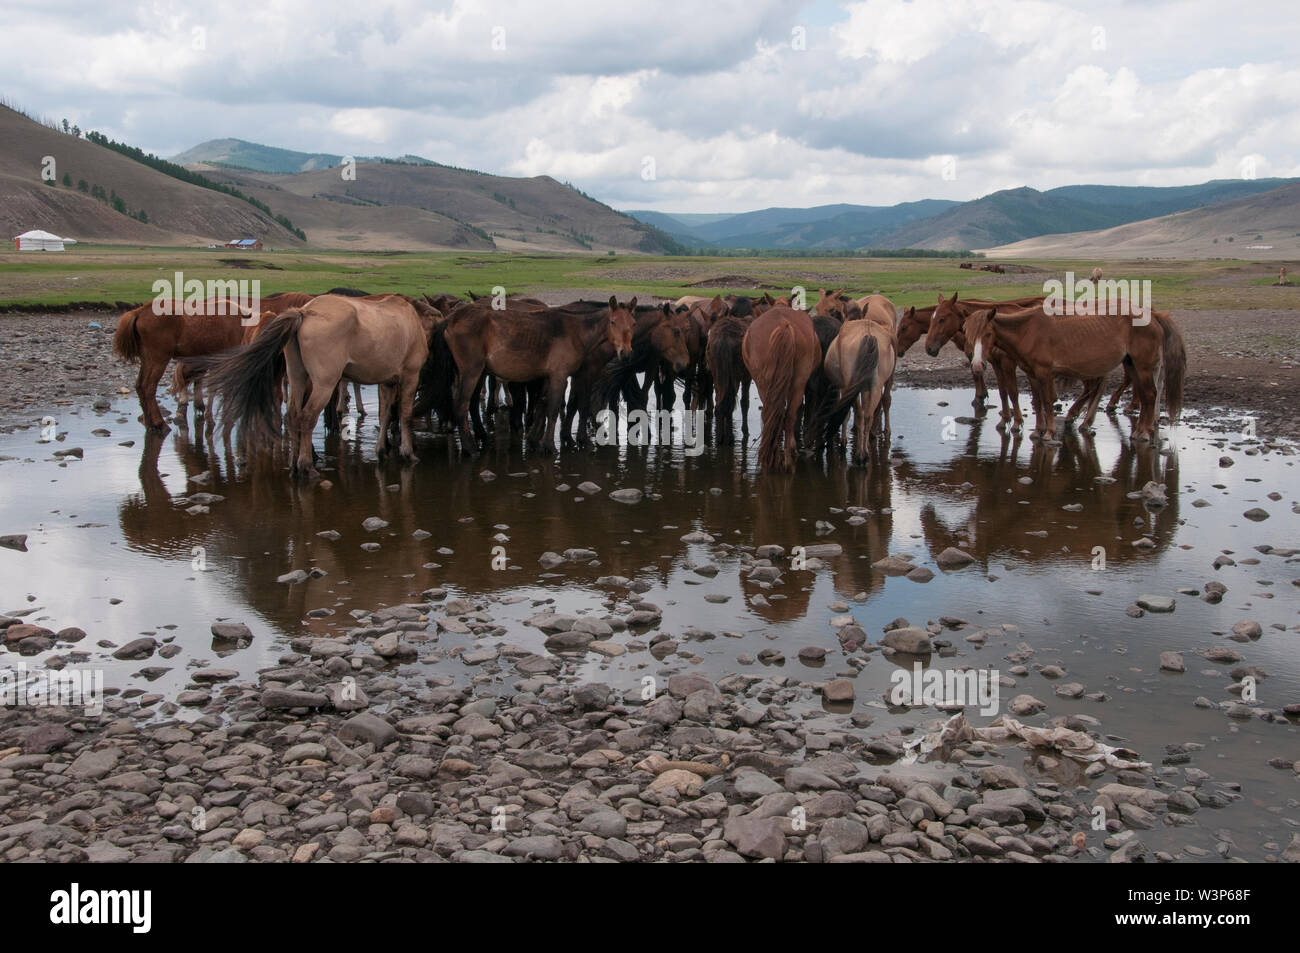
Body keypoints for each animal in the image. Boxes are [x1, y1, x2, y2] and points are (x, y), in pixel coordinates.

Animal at [748, 304, 816, 473]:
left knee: (772, 414)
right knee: (787, 415)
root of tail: (783, 325)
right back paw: (787, 458)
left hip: (764, 384)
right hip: (797, 382)